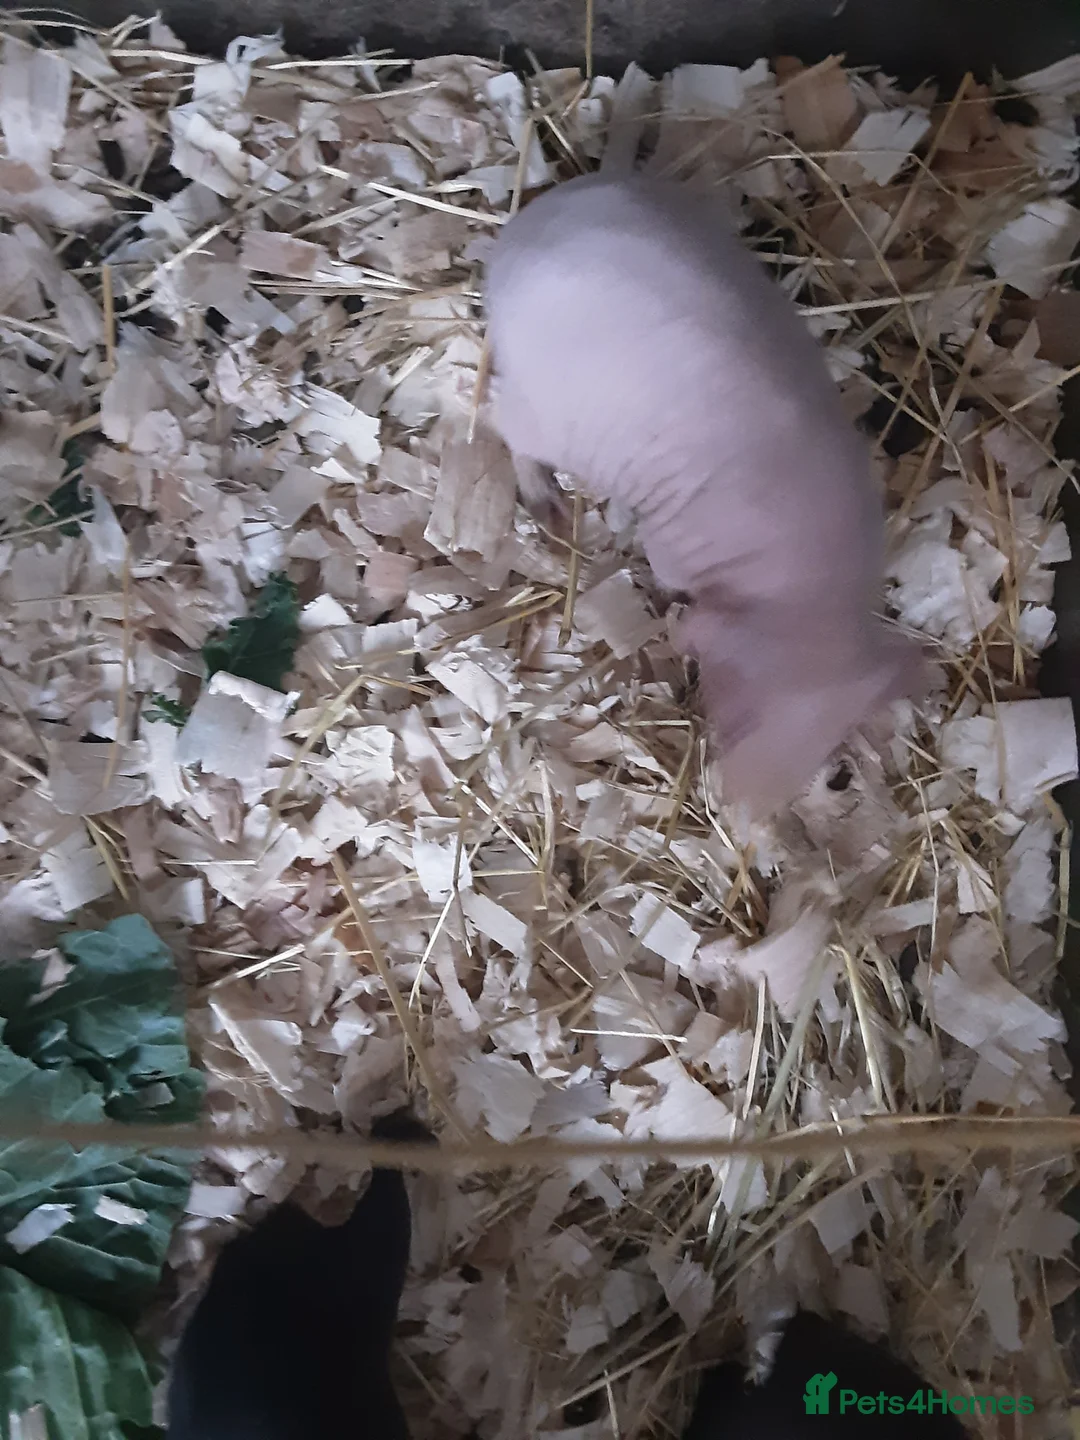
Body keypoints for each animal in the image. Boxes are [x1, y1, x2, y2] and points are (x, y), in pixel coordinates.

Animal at [483, 174, 920, 816]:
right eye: (744, 716)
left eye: (829, 758)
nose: (742, 806)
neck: (810, 596)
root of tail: (512, 249)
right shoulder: (680, 551)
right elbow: (671, 583)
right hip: (543, 408)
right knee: (502, 421)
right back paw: (550, 507)